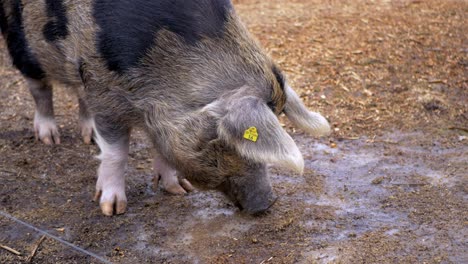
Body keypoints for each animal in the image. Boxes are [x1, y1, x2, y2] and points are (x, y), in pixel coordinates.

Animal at [0, 0, 330, 216]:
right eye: (224, 141)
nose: (268, 203)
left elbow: (161, 147)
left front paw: (178, 190)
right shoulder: (103, 87)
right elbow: (116, 153)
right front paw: (112, 209)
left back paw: (87, 137)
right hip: (22, 40)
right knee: (39, 88)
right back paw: (48, 138)